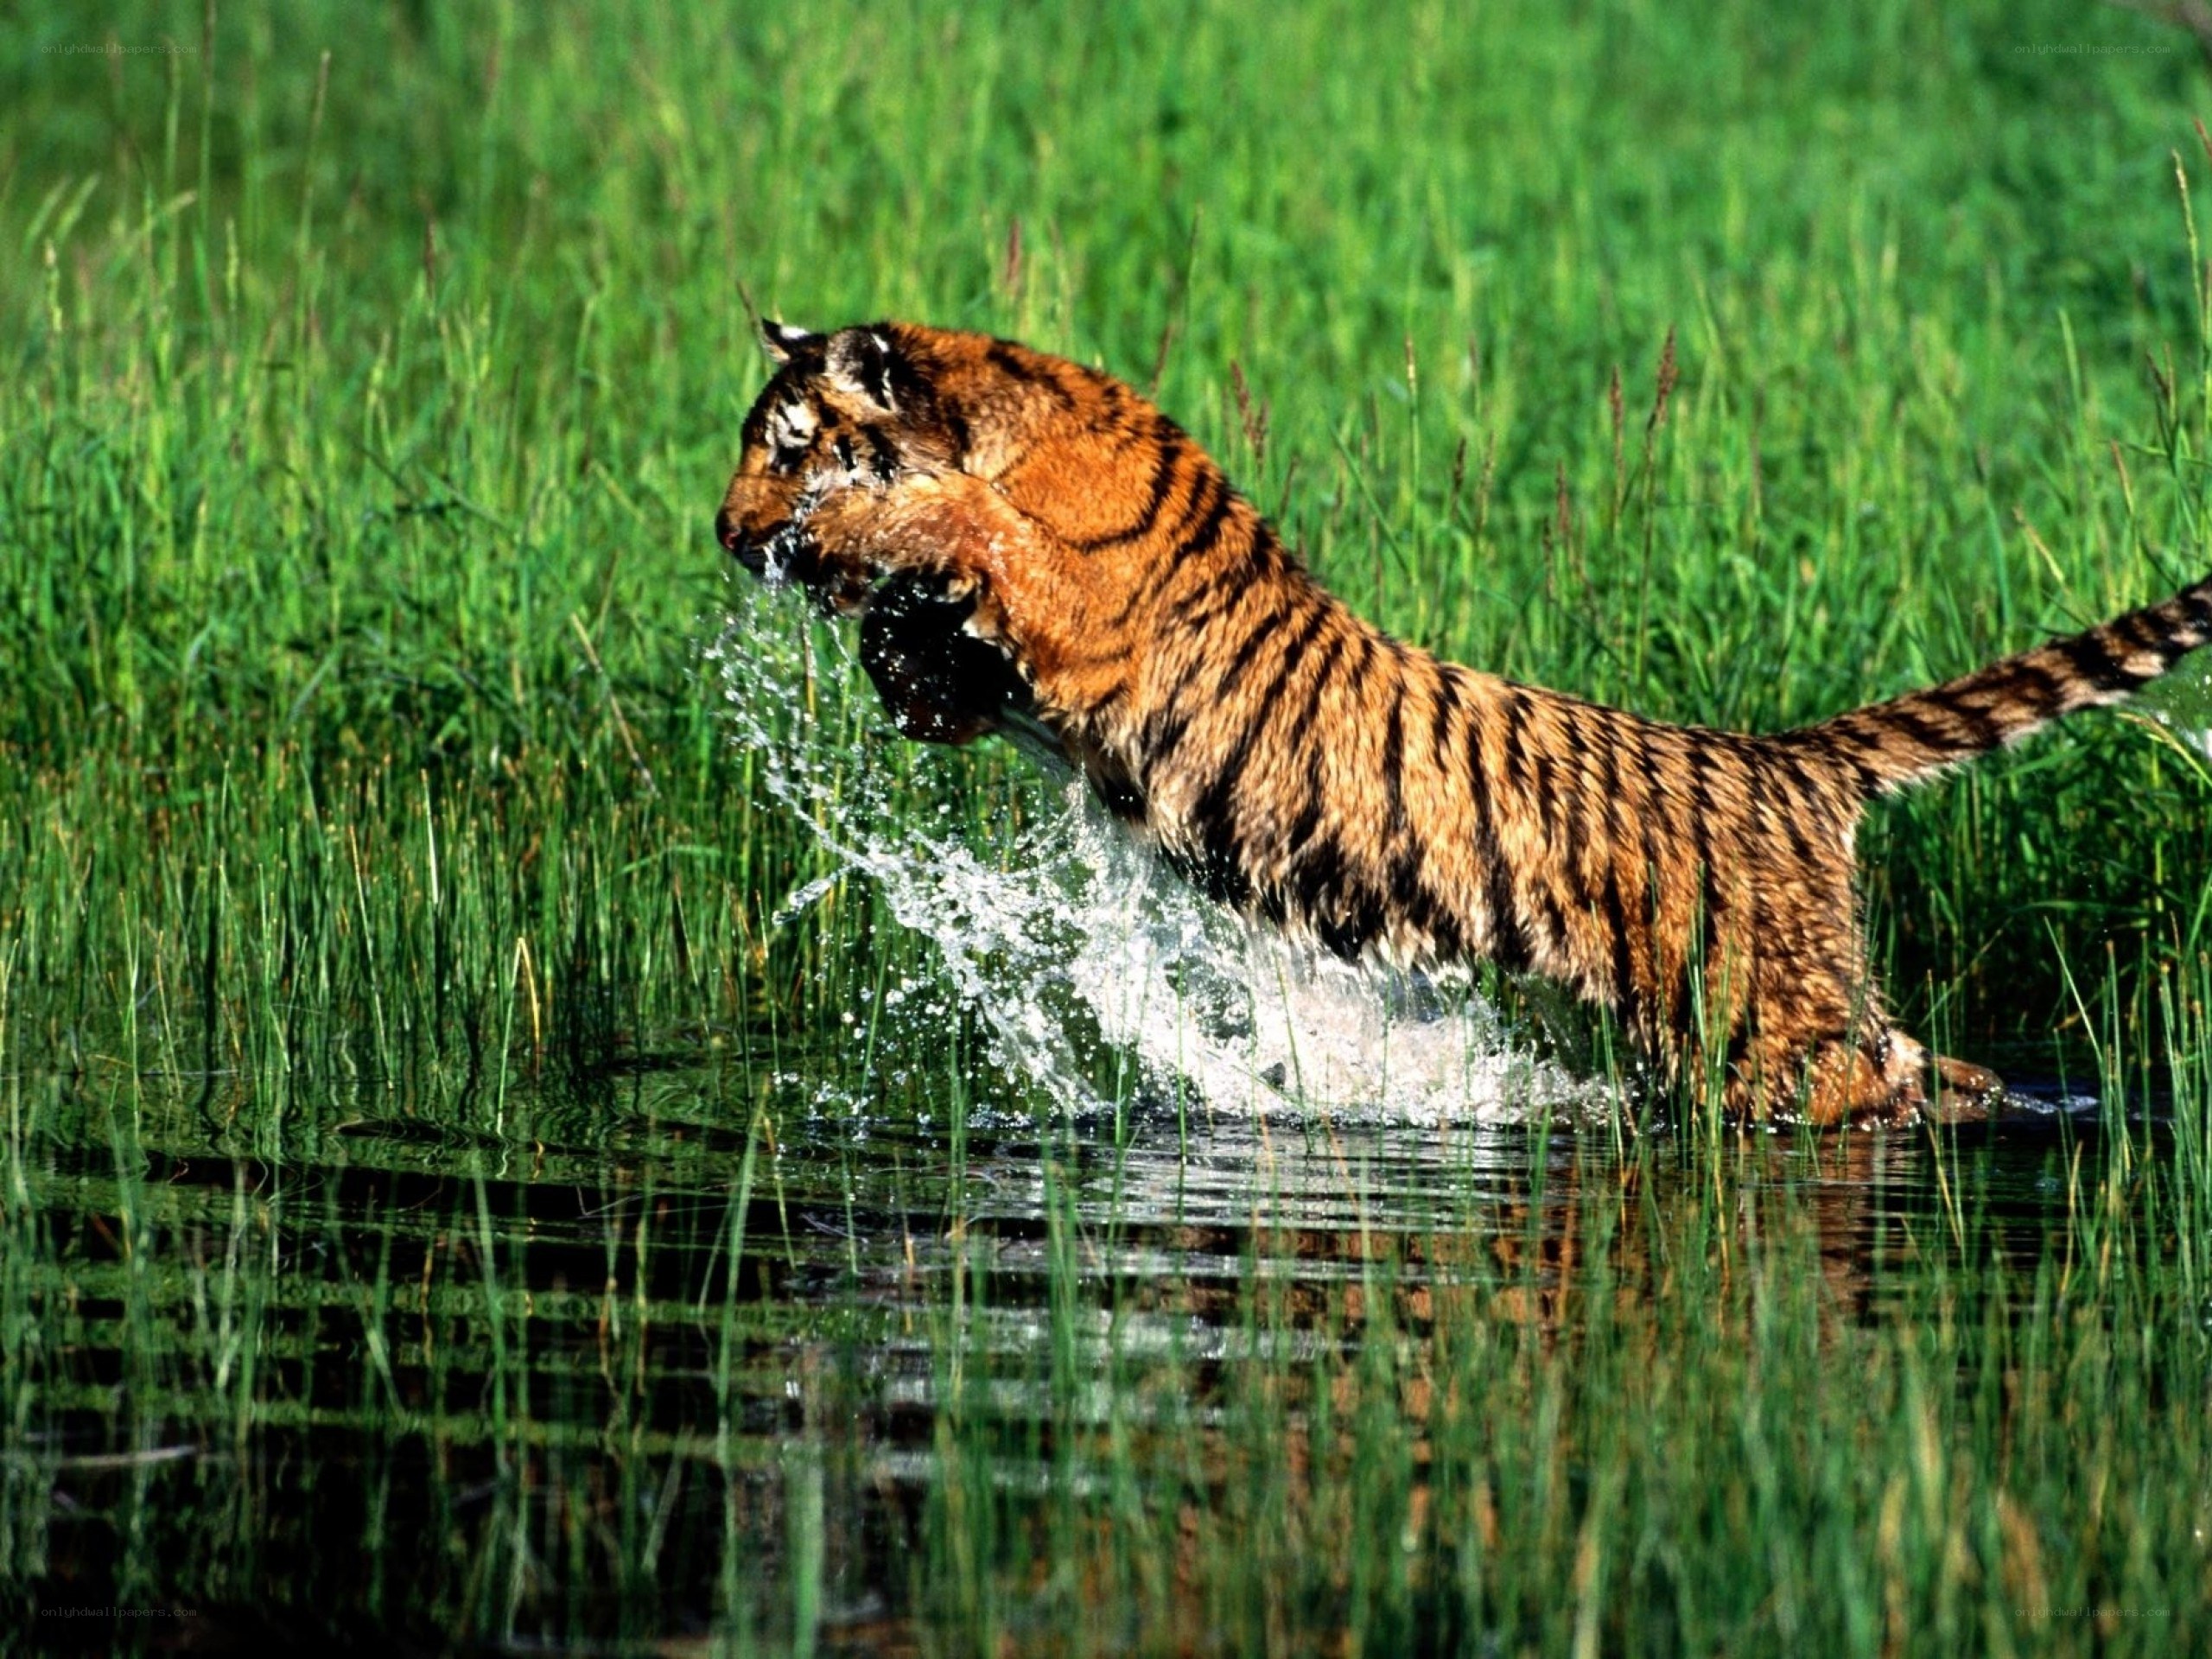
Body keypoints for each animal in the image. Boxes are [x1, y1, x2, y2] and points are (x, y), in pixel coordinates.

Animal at [716, 320, 2212, 1126]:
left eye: (786, 446)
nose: (730, 538)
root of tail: (1786, 761)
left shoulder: (1082, 605)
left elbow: (968, 522)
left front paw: (864, 536)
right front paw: (894, 647)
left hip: (1766, 1029)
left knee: (1869, 1085)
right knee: (1927, 1063)